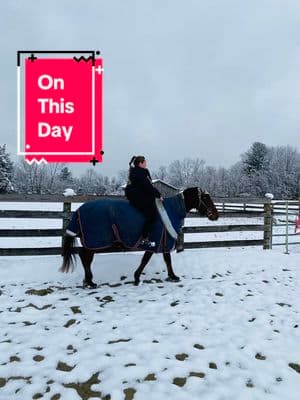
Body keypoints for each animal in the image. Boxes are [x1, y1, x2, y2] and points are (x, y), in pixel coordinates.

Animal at [59, 188, 218, 288]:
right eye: (205, 197)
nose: (215, 215)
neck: (171, 210)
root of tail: (79, 210)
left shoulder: (162, 241)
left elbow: (165, 259)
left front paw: (172, 276)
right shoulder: (157, 241)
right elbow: (147, 260)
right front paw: (137, 277)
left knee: (85, 257)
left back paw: (88, 281)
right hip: (94, 241)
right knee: (85, 257)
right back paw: (90, 282)